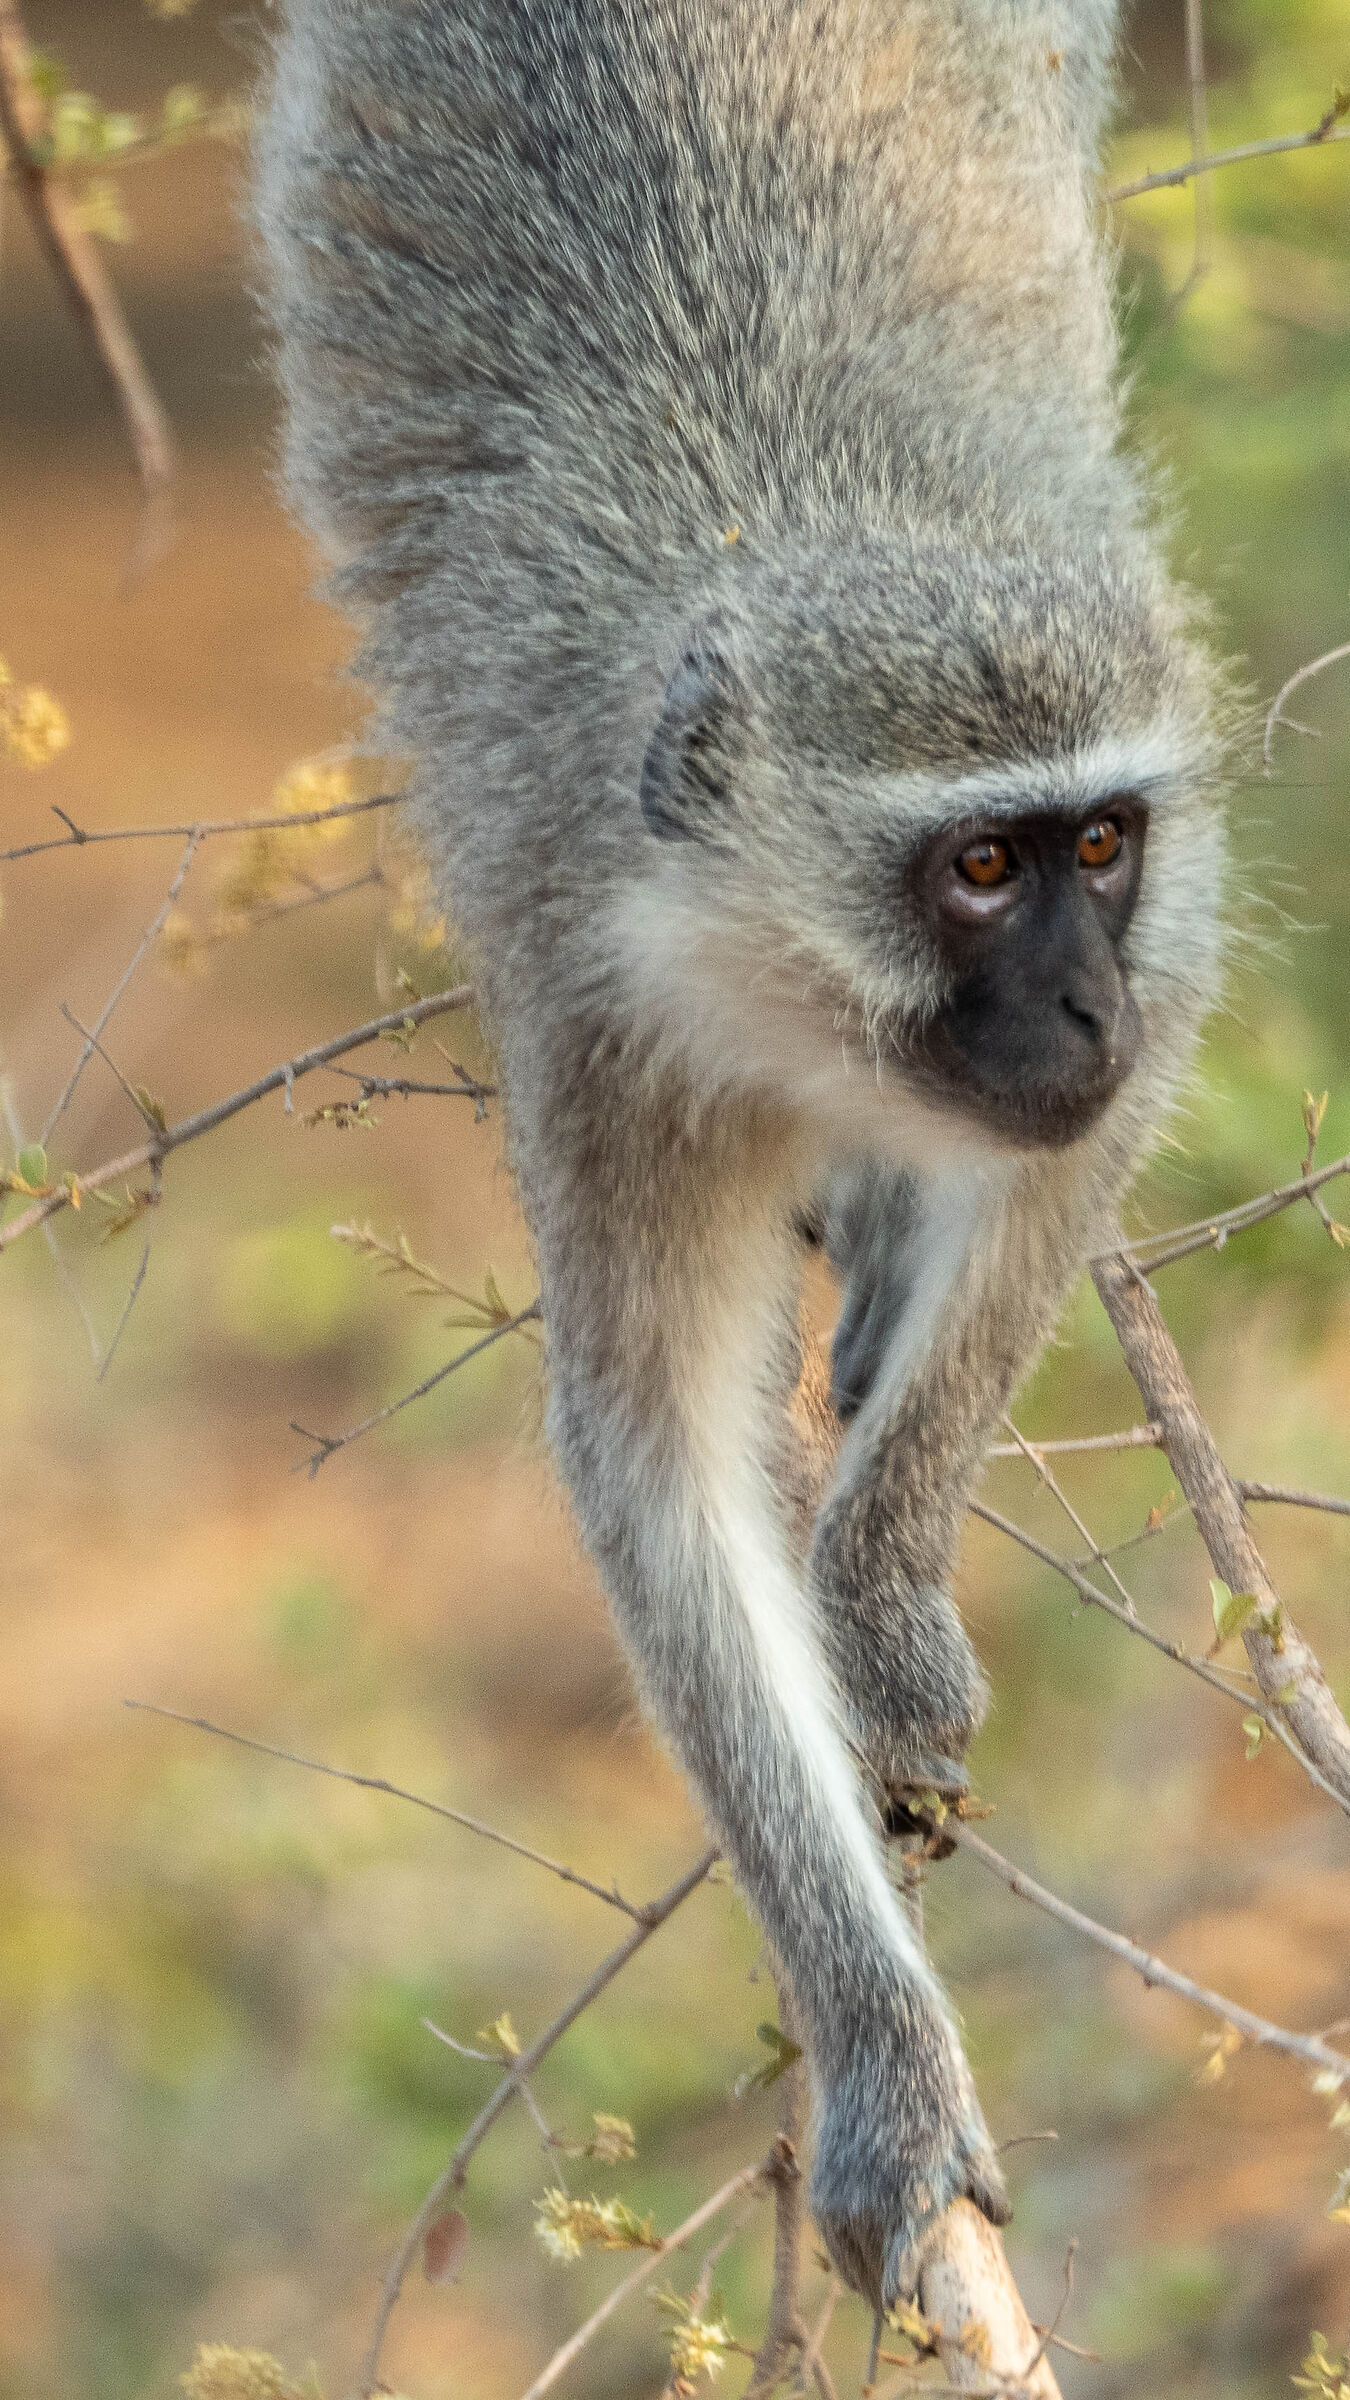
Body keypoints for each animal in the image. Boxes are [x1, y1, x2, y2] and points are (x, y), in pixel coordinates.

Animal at [256, 0, 1229, 2311]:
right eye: (978, 868)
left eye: (1097, 847)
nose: (1079, 1009)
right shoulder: (610, 1030)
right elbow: (659, 1466)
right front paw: (881, 2059)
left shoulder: (1178, 916)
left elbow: (1084, 1153)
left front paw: (878, 1600)